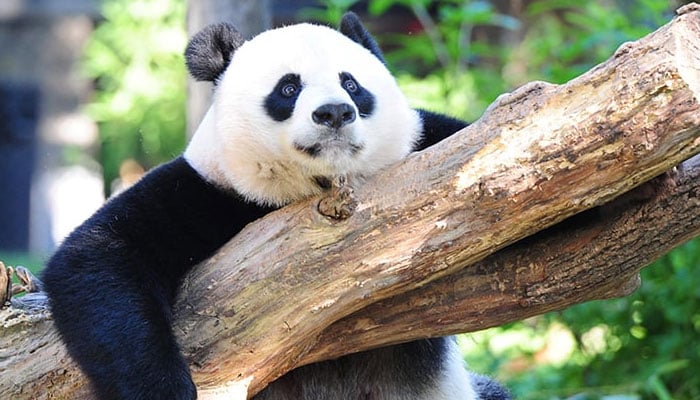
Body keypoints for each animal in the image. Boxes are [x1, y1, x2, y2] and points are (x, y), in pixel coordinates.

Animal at [43, 12, 512, 400]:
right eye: (289, 88)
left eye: (351, 84)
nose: (335, 113)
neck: (318, 186)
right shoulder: (207, 192)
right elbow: (98, 257)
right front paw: (165, 390)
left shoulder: (430, 145)